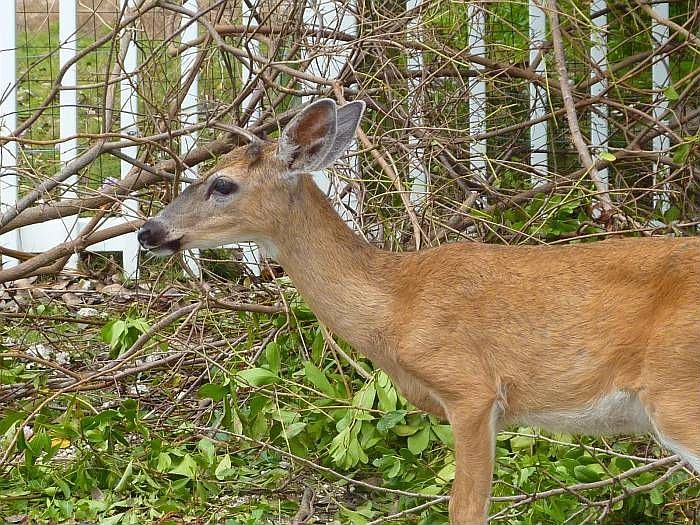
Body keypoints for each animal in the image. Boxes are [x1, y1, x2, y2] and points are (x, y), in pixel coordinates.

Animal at [138, 98, 700, 524]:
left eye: (222, 183)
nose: (148, 231)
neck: (397, 304)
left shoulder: (470, 388)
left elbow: (465, 510)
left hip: (677, 394)